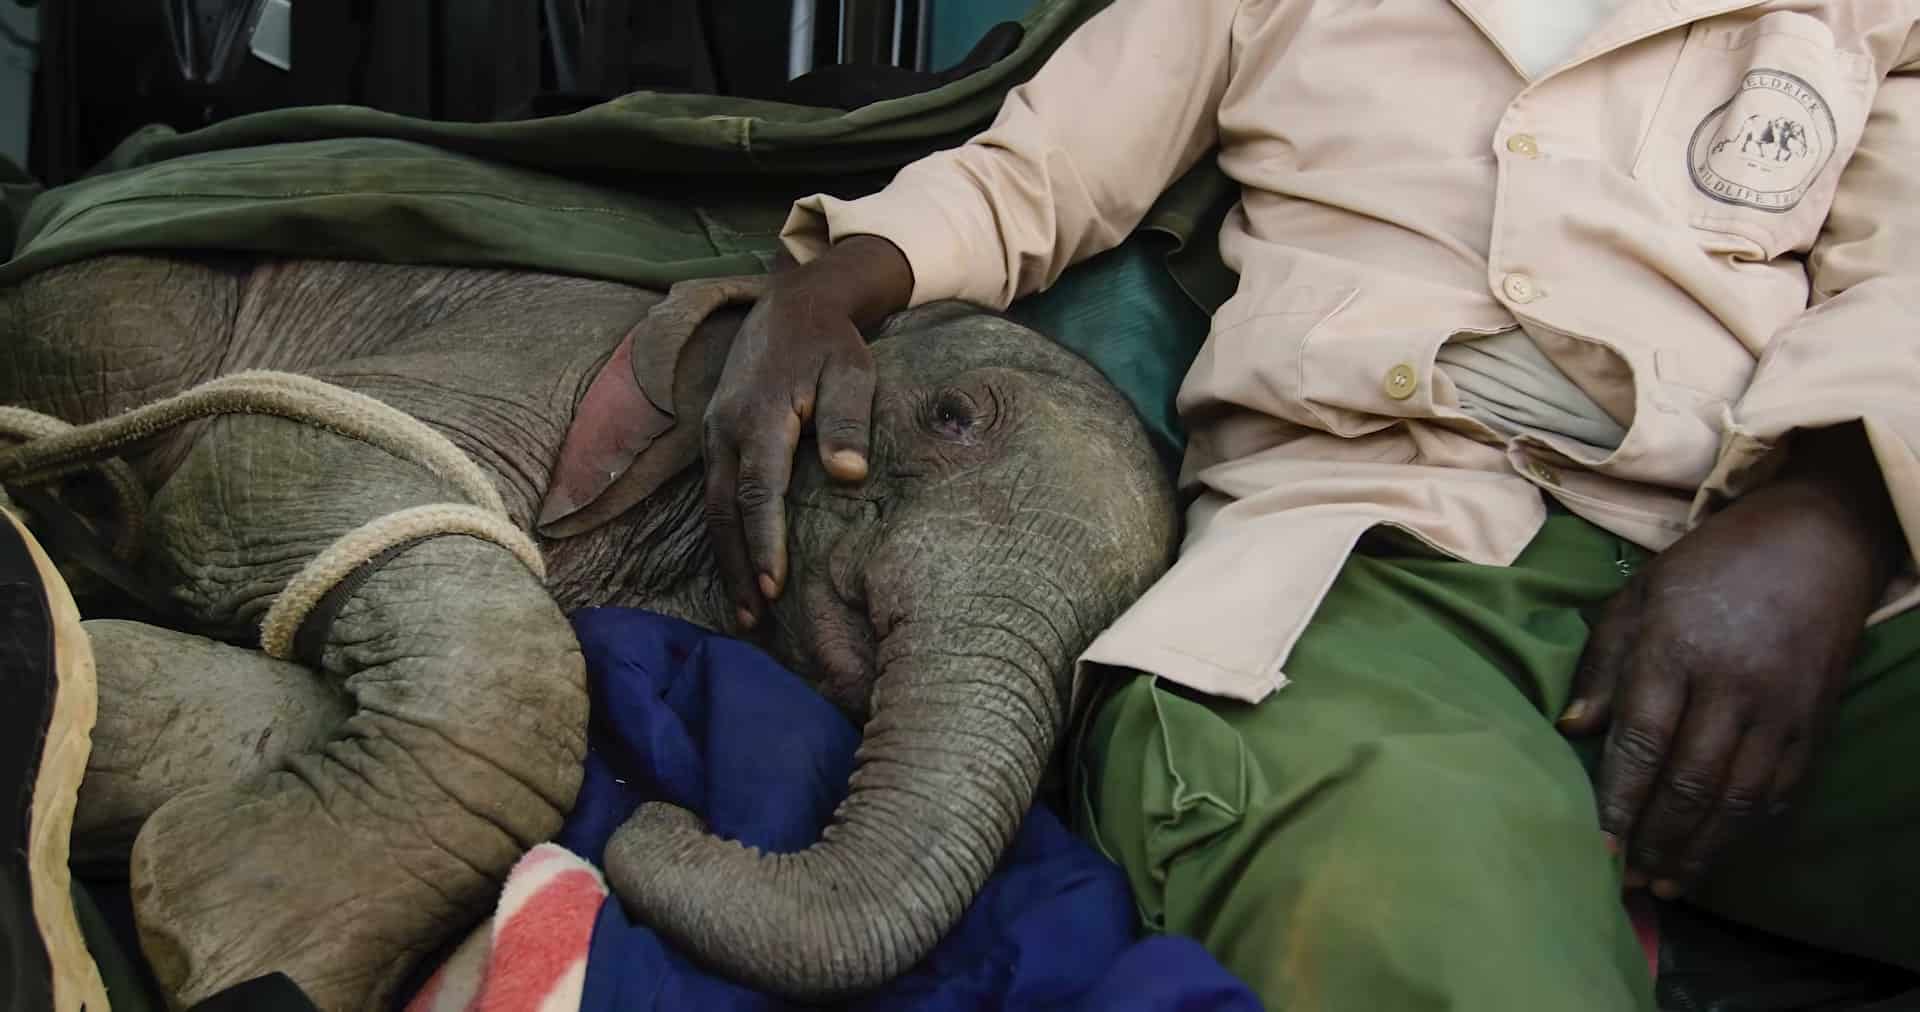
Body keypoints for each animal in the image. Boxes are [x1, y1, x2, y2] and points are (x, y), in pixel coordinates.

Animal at [0, 254, 1177, 1009]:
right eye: (953, 419)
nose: (659, 821)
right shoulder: (527, 367)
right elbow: (260, 459)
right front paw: (237, 947)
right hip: (121, 320)